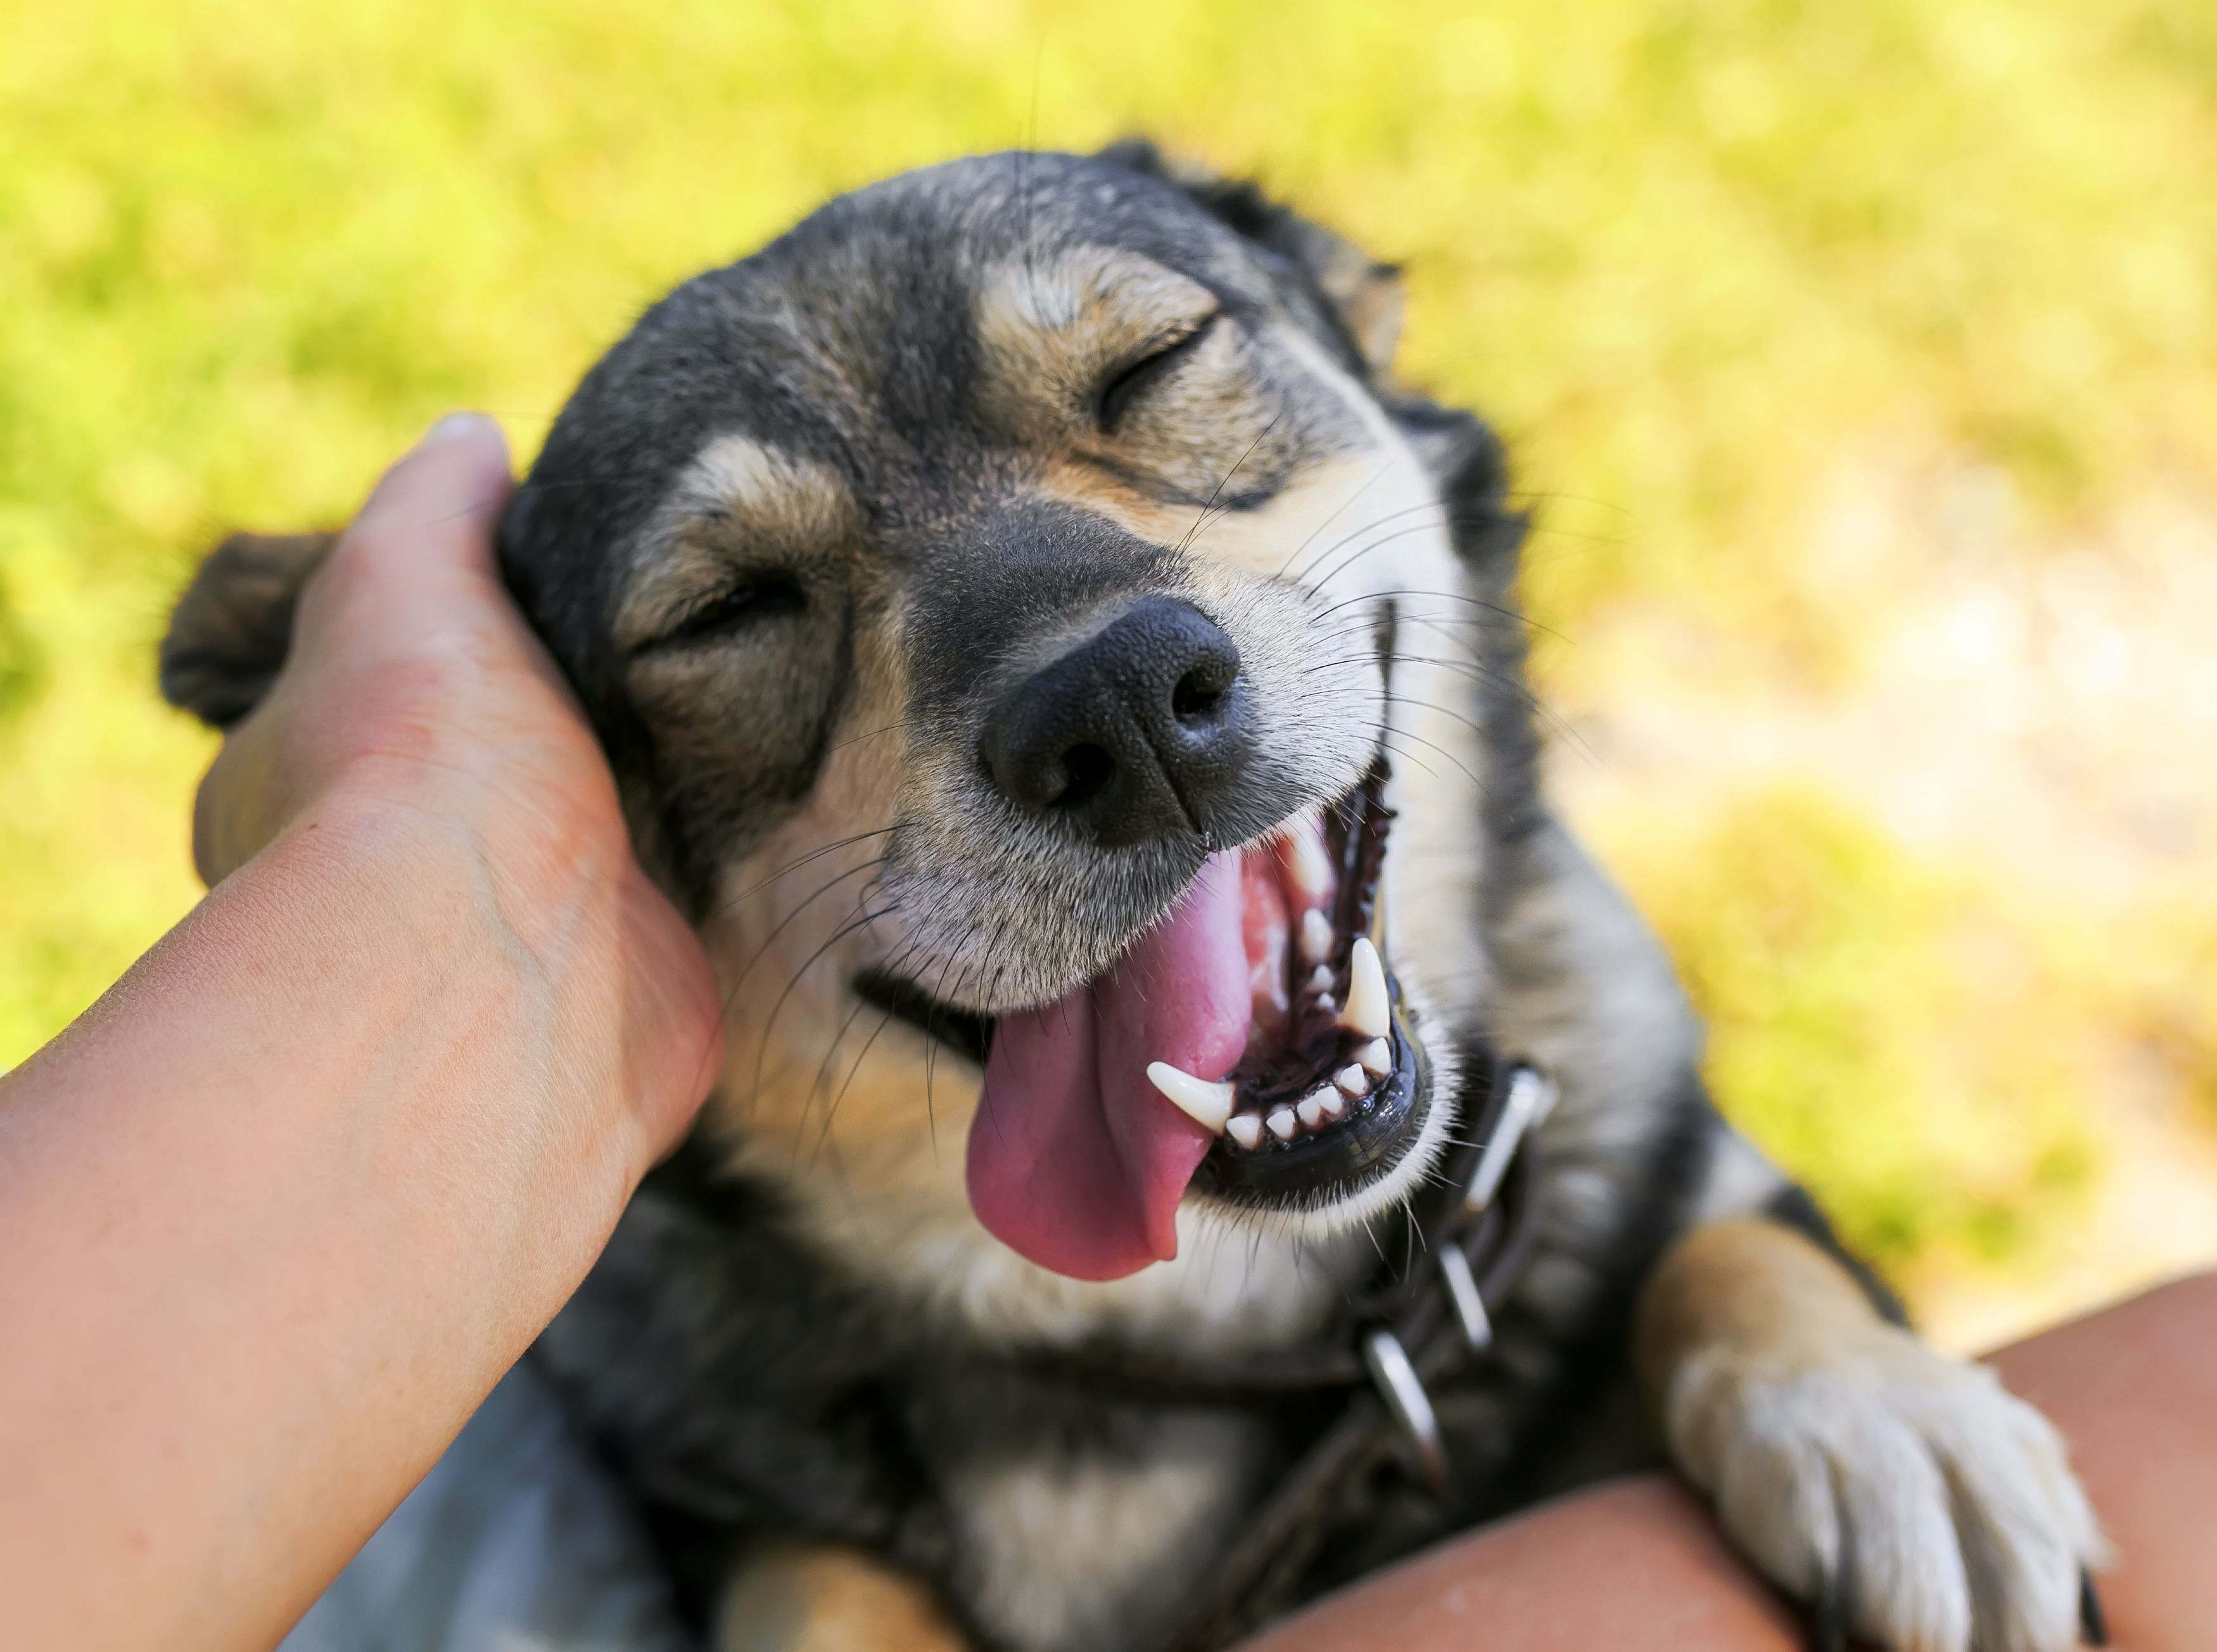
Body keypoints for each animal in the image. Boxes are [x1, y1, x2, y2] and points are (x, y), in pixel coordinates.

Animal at [164, 145, 2102, 1649]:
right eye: (724, 613)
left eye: (1155, 363)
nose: (1115, 710)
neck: (1211, 1323)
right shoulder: (716, 1491)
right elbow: (818, 1578)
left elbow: (1726, 1241)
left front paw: (1876, 1415)